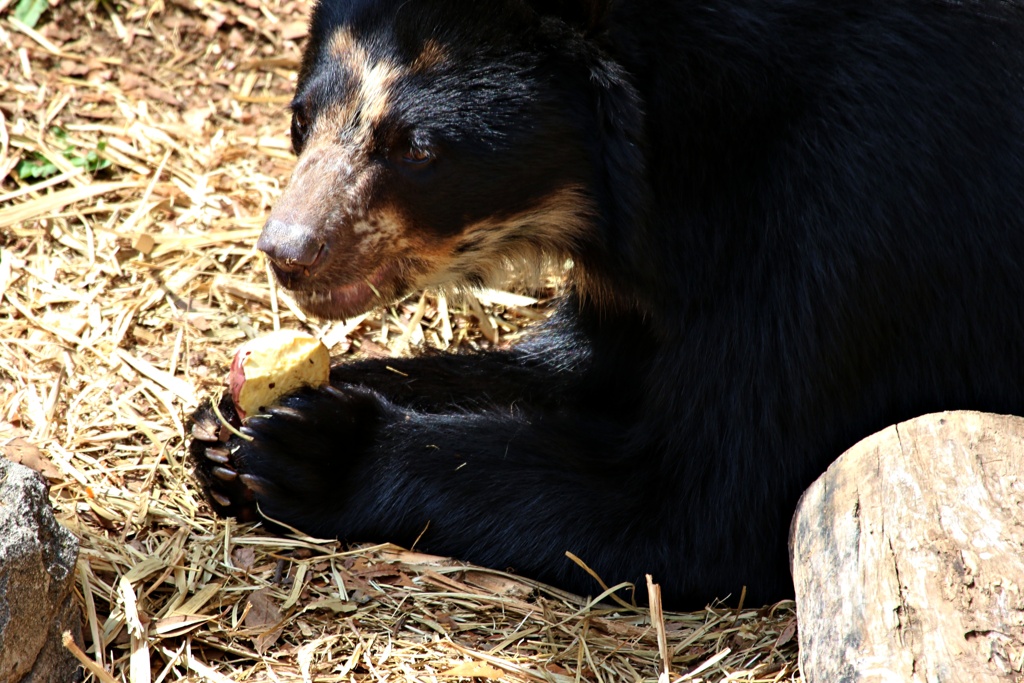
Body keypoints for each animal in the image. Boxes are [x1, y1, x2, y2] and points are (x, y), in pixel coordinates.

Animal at [192, 0, 1024, 610]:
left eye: (418, 149)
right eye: (301, 120)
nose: (289, 251)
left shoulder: (858, 213)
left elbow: (706, 501)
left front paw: (311, 448)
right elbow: (585, 365)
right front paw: (226, 420)